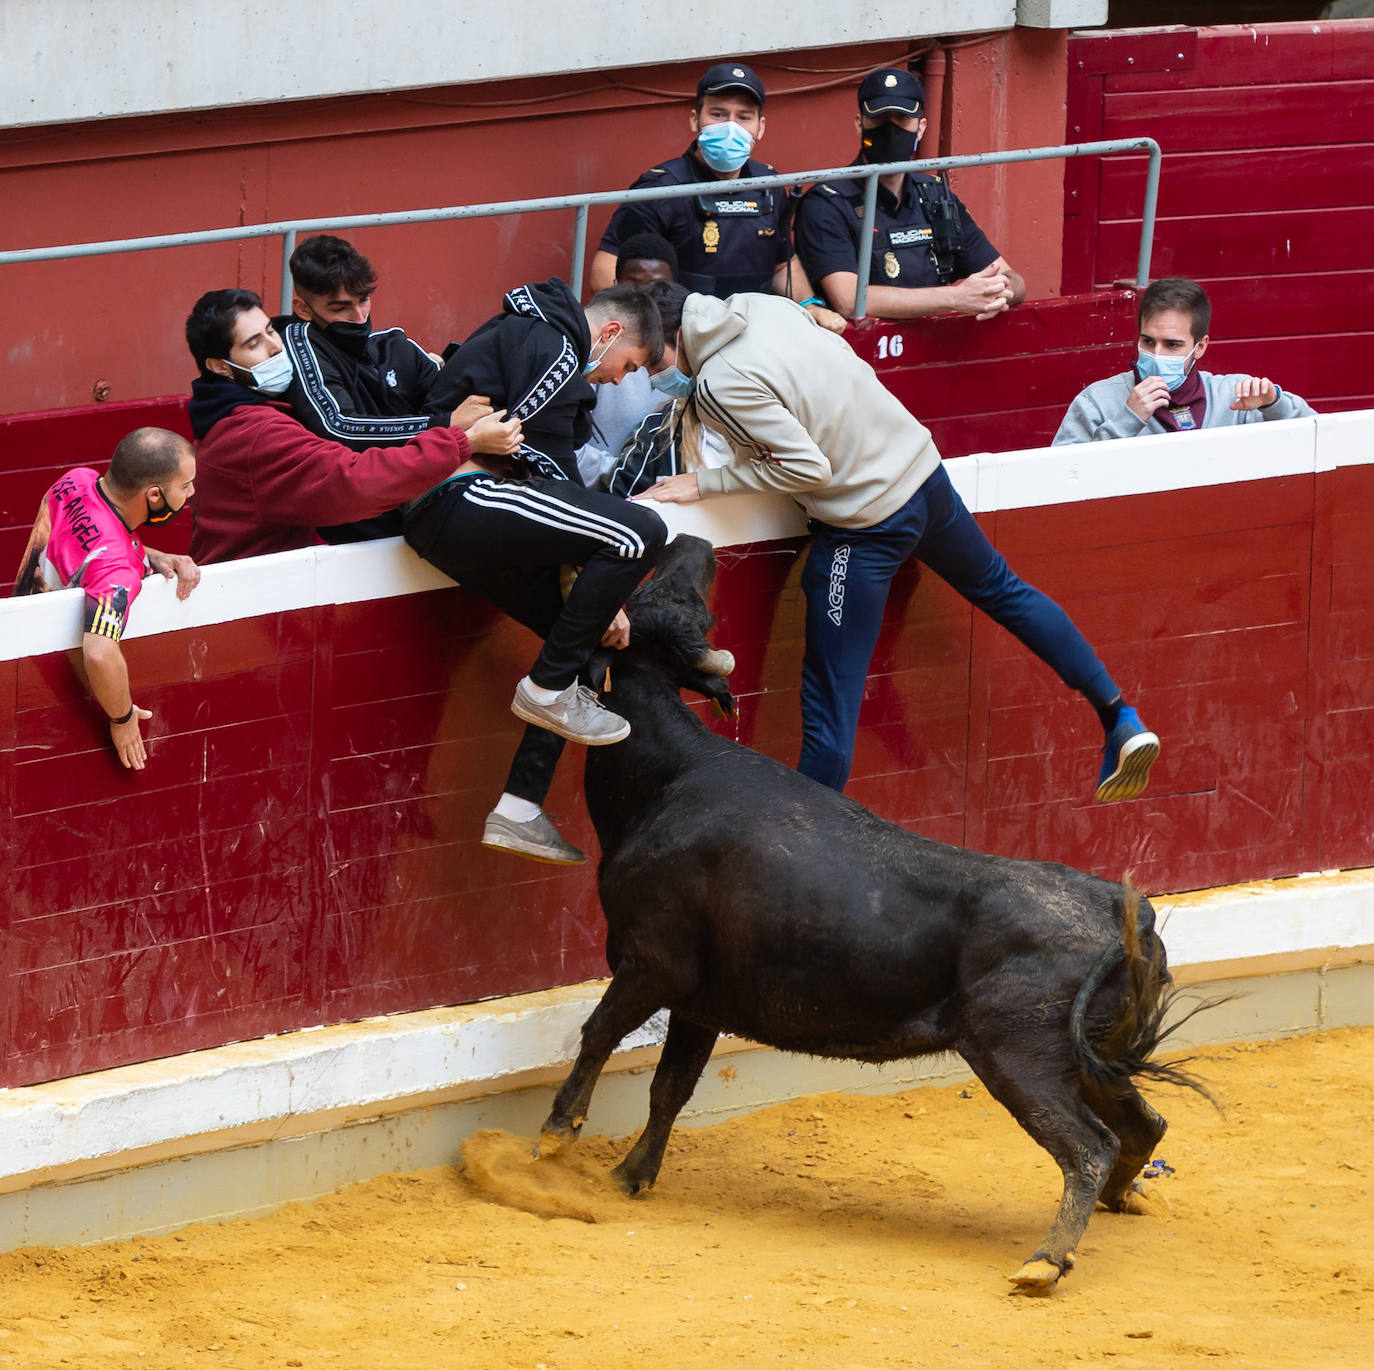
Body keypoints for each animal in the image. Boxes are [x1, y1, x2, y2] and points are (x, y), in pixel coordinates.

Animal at [541, 533, 1209, 1280]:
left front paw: (555, 1134)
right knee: (1143, 1124)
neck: (666, 774)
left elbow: (598, 1034)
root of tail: (1126, 914)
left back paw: (1045, 1260)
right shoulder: (698, 999)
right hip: (1089, 1057)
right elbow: (670, 1087)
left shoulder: (649, 963)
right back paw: (1122, 1200)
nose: (692, 540)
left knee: (1087, 1146)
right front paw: (631, 1176)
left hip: (1020, 1056)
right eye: (663, 591)